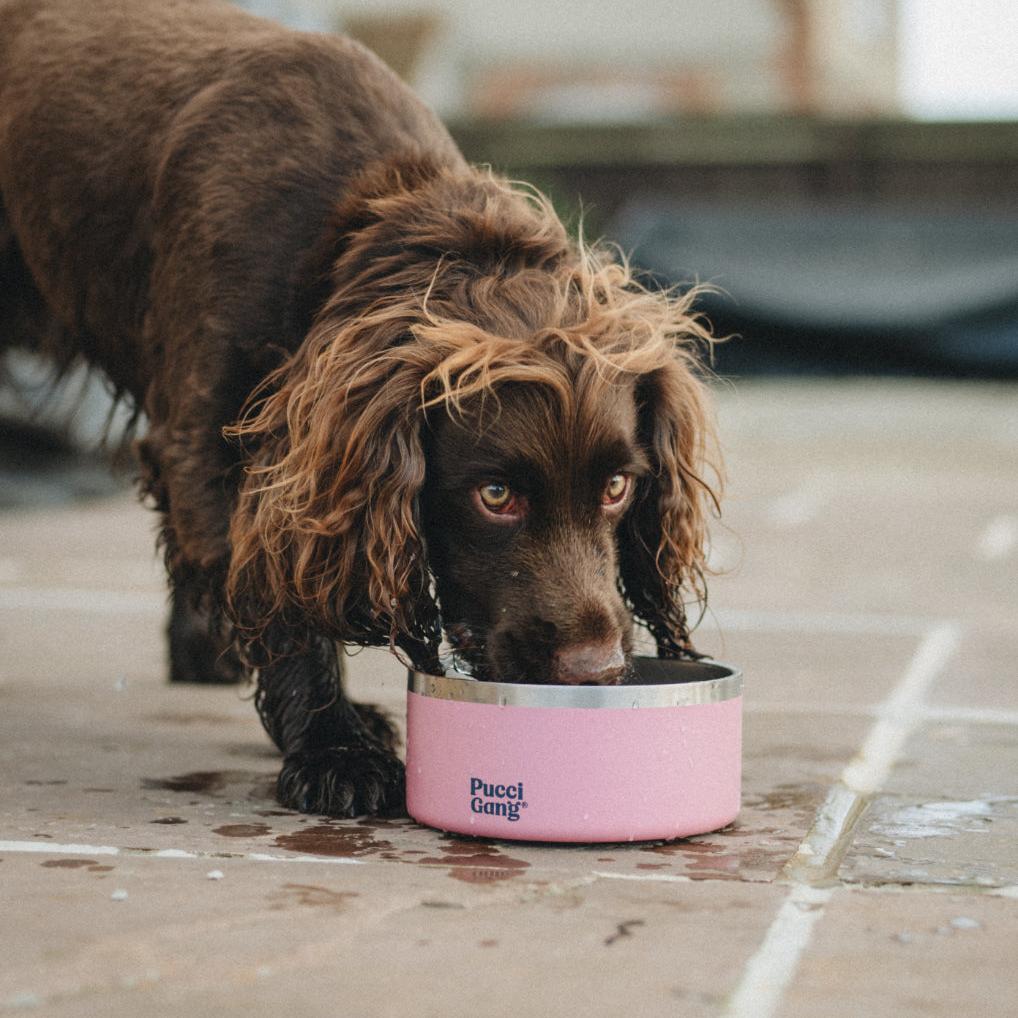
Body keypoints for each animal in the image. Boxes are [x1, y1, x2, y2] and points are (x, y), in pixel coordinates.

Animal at [0, 0, 720, 814]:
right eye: (494, 495)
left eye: (618, 487)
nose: (593, 673)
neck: (366, 219)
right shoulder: (211, 444)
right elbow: (284, 604)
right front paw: (334, 749)